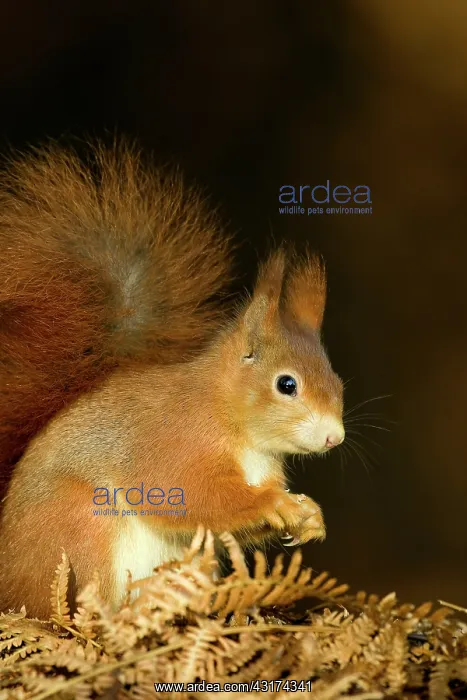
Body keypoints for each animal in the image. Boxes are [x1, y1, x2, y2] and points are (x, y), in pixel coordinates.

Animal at [0, 141, 345, 619]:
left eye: (337, 378)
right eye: (287, 385)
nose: (336, 437)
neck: (240, 433)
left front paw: (310, 515)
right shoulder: (175, 444)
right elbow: (194, 496)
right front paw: (272, 503)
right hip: (81, 524)